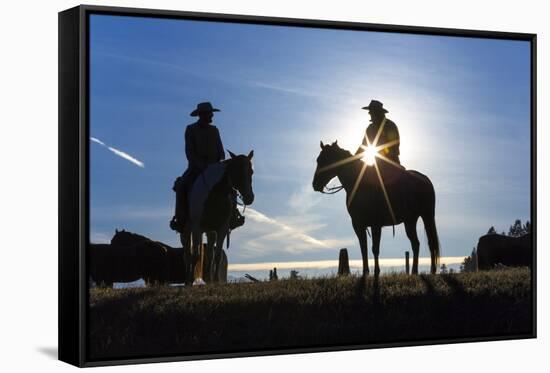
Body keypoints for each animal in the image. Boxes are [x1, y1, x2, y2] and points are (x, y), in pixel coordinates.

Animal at [183, 150, 256, 284]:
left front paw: (216, 281)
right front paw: (190, 281)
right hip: (187, 230)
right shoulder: (197, 228)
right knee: (187, 254)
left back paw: (209, 279)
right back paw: (188, 279)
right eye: (236, 171)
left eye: (251, 171)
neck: (215, 193)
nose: (249, 197)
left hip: (210, 231)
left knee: (209, 253)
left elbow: (218, 255)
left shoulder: (222, 228)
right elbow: (195, 255)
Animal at [312, 141, 442, 274]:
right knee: (416, 244)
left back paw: (432, 270)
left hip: (427, 216)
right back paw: (414, 272)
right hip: (410, 221)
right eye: (318, 160)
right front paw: (365, 273)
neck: (360, 184)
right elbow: (363, 248)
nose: (315, 184)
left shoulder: (375, 225)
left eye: (327, 159)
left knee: (430, 243)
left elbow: (375, 248)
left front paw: (376, 272)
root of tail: (424, 179)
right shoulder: (358, 225)